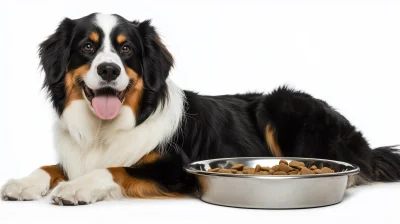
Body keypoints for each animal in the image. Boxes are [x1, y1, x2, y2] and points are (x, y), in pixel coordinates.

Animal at [0, 12, 400, 205]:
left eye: (126, 49)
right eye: (87, 46)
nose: (109, 70)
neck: (103, 130)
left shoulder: (176, 168)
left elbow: (113, 169)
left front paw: (76, 189)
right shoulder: (75, 154)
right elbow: (52, 166)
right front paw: (23, 183)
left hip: (282, 101)